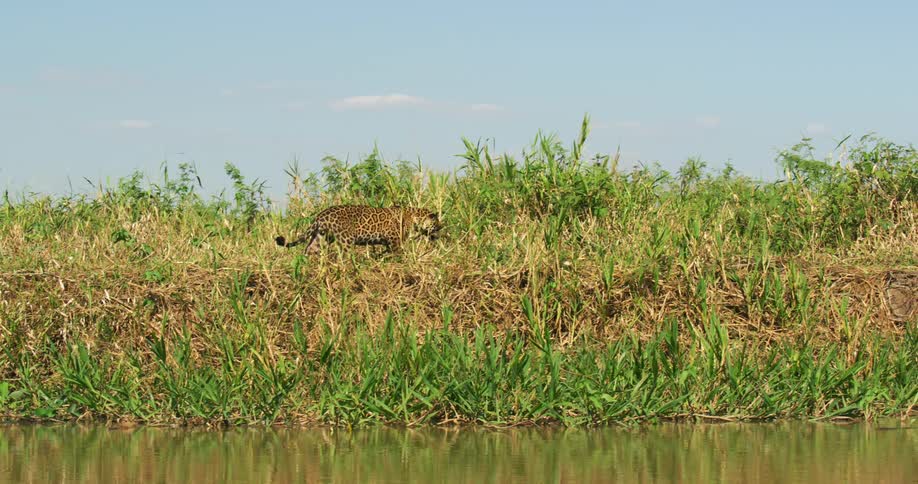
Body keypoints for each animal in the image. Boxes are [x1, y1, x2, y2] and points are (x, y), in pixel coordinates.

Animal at [275, 204, 442, 253]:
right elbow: (398, 252)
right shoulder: (395, 239)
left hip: (321, 237)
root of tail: (321, 215)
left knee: (309, 249)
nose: (441, 227)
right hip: (346, 239)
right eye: (437, 222)